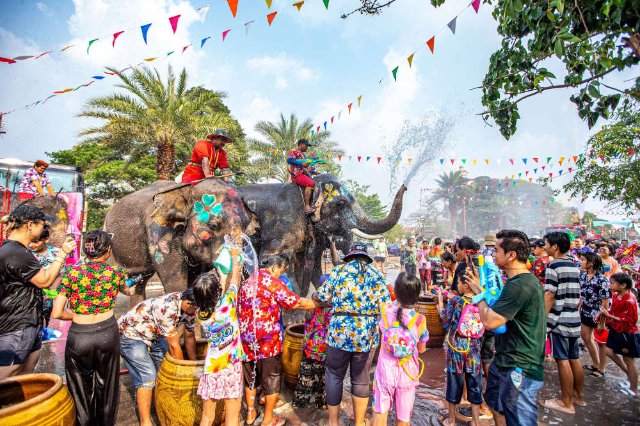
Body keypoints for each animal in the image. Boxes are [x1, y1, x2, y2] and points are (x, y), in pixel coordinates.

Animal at [104, 178, 256, 304]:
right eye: (213, 225)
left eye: (245, 228)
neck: (188, 189)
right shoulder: (160, 234)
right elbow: (176, 283)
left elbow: (193, 281)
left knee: (140, 281)